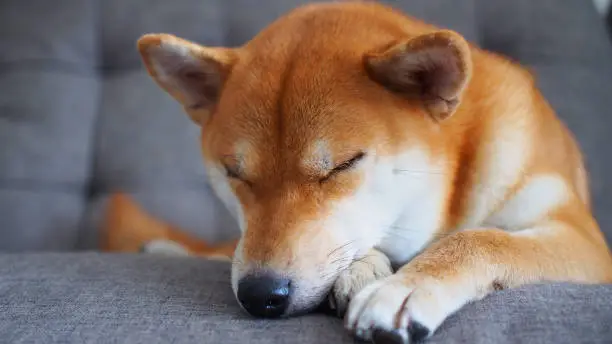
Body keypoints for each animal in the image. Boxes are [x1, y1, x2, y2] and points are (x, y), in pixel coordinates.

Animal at [135, 1, 612, 342]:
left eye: (343, 166)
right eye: (235, 173)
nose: (260, 294)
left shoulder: (584, 241)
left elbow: (482, 240)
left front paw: (406, 287)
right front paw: (362, 269)